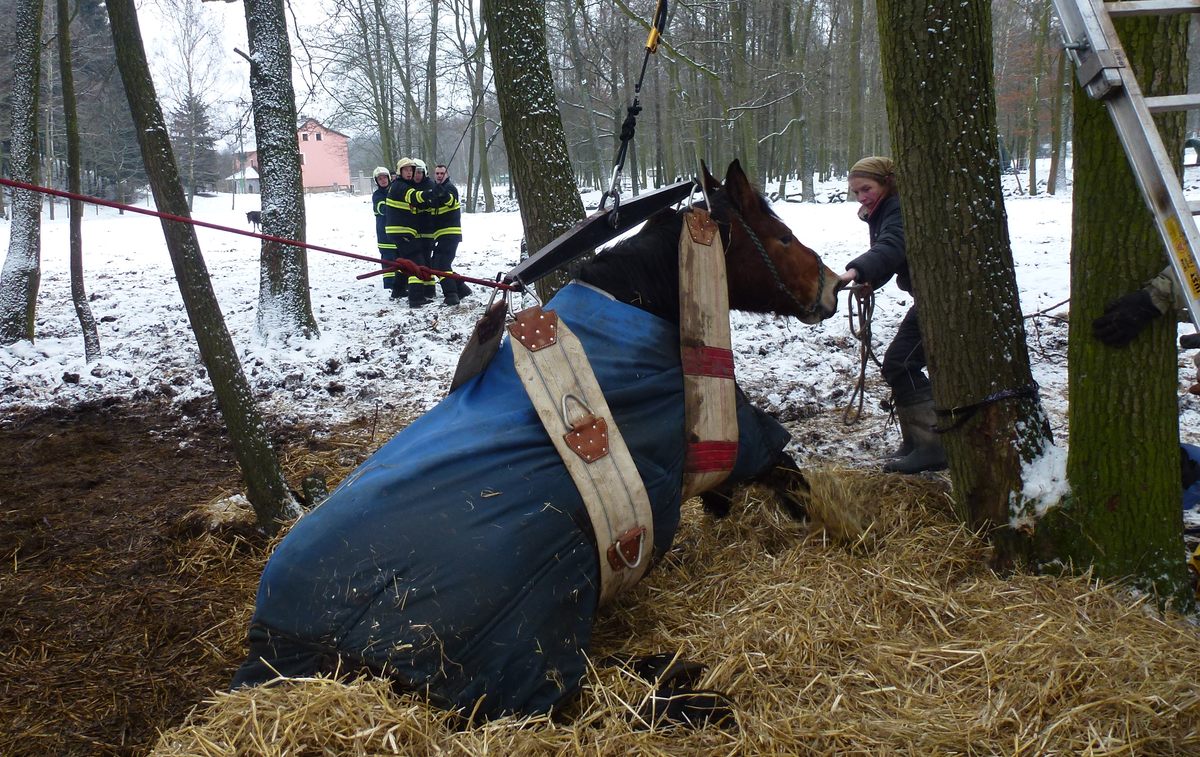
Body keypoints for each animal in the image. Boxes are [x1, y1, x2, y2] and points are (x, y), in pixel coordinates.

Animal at [229, 158, 840, 724]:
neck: (640, 302)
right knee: (569, 695)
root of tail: (304, 644)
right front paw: (831, 526)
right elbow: (784, 469)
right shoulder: (730, 434)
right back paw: (687, 690)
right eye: (781, 237)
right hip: (541, 618)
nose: (833, 287)